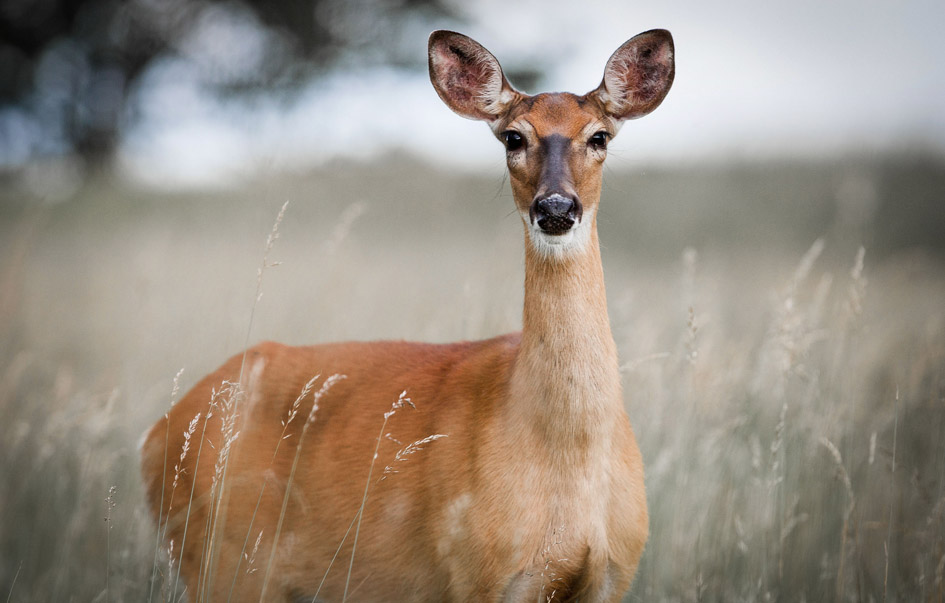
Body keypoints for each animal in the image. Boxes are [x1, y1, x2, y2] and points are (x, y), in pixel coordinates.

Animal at [138, 26, 672, 600]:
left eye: (599, 136)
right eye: (513, 137)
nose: (555, 208)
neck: (566, 454)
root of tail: (156, 435)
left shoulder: (612, 575)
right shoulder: (477, 572)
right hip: (219, 561)